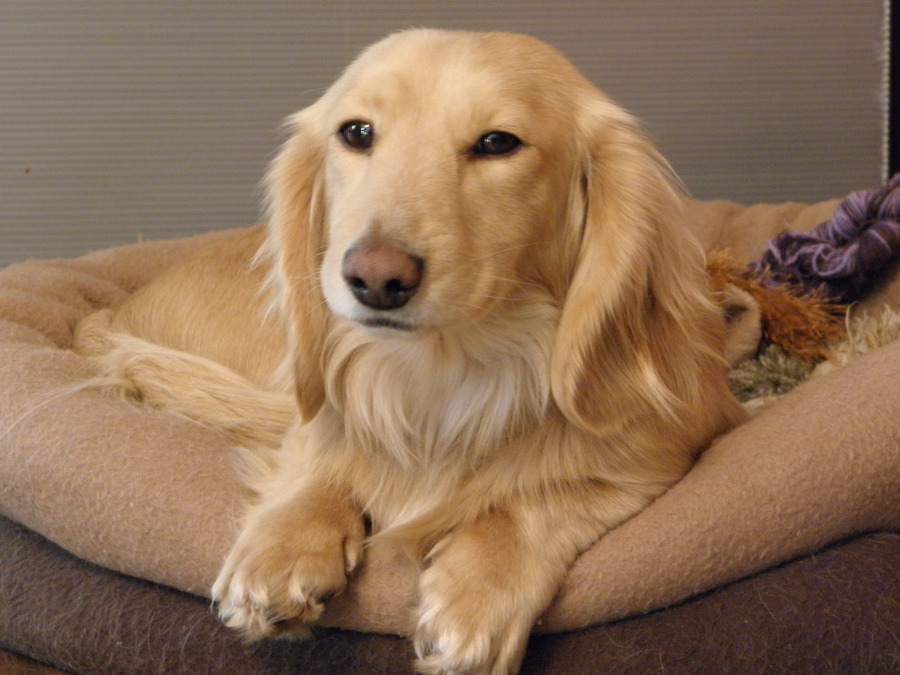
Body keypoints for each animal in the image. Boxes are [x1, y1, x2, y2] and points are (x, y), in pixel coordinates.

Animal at [72, 27, 744, 675]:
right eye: (357, 132)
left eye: (498, 142)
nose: (375, 278)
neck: (441, 371)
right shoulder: (312, 416)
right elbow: (318, 461)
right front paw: (285, 544)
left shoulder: (660, 454)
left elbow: (539, 498)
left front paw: (478, 593)